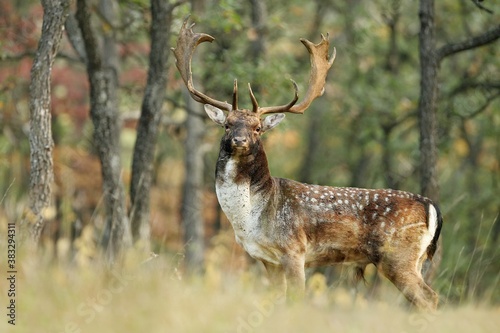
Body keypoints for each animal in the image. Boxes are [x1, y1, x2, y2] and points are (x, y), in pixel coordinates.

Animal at [172, 18, 442, 308]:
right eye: (227, 125)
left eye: (258, 128)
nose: (239, 140)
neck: (252, 218)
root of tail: (432, 207)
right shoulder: (268, 260)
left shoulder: (294, 250)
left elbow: (296, 298)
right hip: (411, 260)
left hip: (398, 257)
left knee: (429, 297)